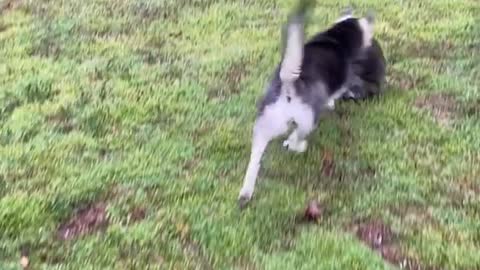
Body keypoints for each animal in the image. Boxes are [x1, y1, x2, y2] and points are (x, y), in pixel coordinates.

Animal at [239, 2, 386, 208]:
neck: (337, 38)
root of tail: (289, 83)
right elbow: (334, 96)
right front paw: (332, 103)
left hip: (265, 124)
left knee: (254, 161)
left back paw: (246, 192)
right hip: (307, 118)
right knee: (296, 138)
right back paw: (297, 145)